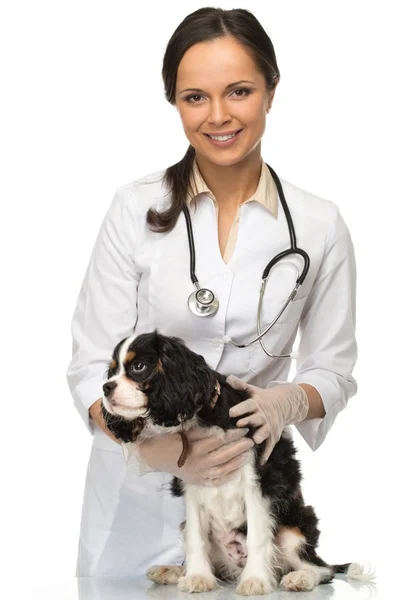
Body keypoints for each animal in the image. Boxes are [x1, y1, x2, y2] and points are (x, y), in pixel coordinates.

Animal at [101, 332, 376, 596]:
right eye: (112, 371)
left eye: (138, 366)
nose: (105, 387)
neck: (205, 417)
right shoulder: (193, 485)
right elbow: (197, 539)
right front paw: (198, 577)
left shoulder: (258, 485)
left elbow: (257, 537)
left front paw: (255, 581)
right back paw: (173, 571)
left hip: (295, 529)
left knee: (321, 569)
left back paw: (300, 578)